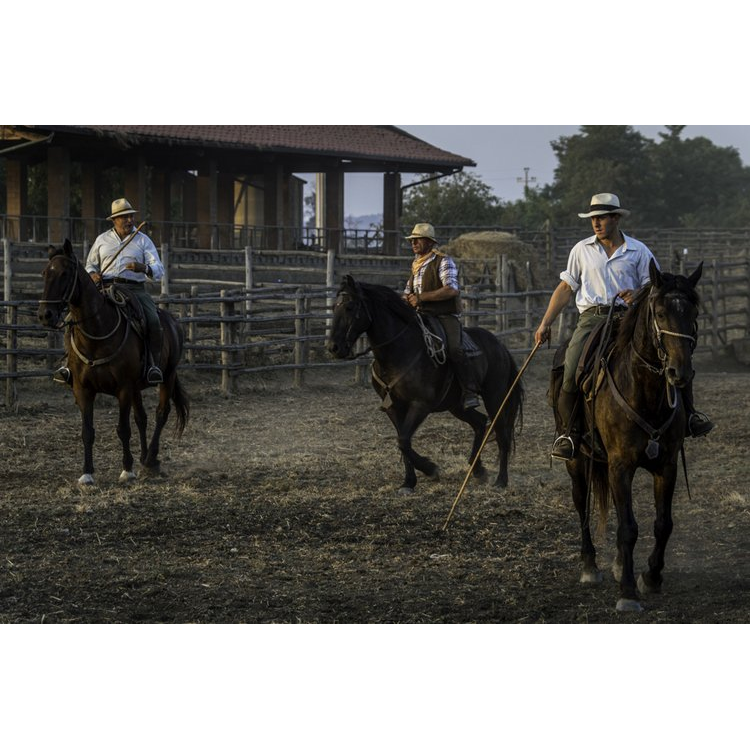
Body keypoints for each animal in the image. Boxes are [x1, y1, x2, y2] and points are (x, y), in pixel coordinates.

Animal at [37, 239, 191, 488]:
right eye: (44, 273)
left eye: (64, 273)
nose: (45, 315)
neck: (98, 334)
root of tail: (172, 321)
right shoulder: (83, 390)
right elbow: (87, 431)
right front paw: (87, 474)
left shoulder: (124, 389)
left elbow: (123, 429)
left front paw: (127, 470)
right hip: (139, 386)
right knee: (142, 418)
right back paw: (145, 458)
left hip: (167, 376)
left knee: (161, 413)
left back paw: (151, 459)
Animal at [328, 276, 524, 494]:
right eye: (334, 307)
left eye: (350, 307)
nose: (334, 348)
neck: (400, 351)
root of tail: (500, 346)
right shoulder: (394, 407)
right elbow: (403, 441)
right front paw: (408, 482)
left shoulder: (420, 405)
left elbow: (403, 441)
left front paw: (430, 469)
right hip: (457, 406)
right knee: (480, 422)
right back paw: (478, 469)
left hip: (495, 397)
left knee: (502, 434)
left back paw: (501, 481)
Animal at [552, 262, 704, 612]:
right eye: (660, 313)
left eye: (693, 312)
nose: (680, 373)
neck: (644, 390)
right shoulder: (619, 465)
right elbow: (627, 527)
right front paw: (627, 592)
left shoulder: (666, 465)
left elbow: (663, 524)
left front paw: (650, 576)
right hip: (577, 462)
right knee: (581, 504)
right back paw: (590, 566)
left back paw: (621, 564)